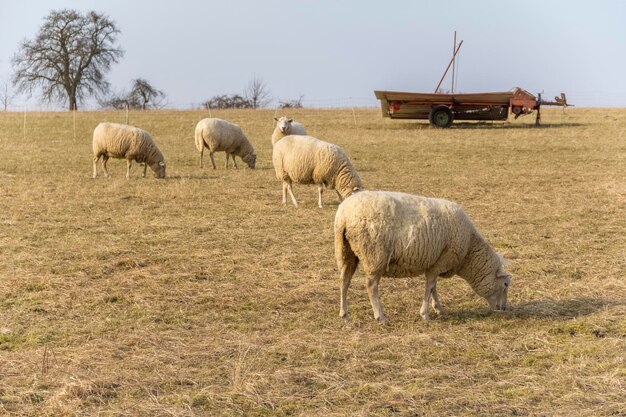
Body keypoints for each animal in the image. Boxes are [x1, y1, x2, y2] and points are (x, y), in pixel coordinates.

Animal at [334, 190, 510, 324]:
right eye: (506, 284)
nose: (504, 309)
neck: (468, 252)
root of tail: (344, 215)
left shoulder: (436, 263)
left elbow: (433, 287)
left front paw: (438, 308)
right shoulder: (441, 261)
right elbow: (430, 286)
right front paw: (425, 313)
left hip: (345, 251)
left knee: (344, 280)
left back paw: (344, 314)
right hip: (374, 255)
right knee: (371, 285)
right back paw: (380, 316)